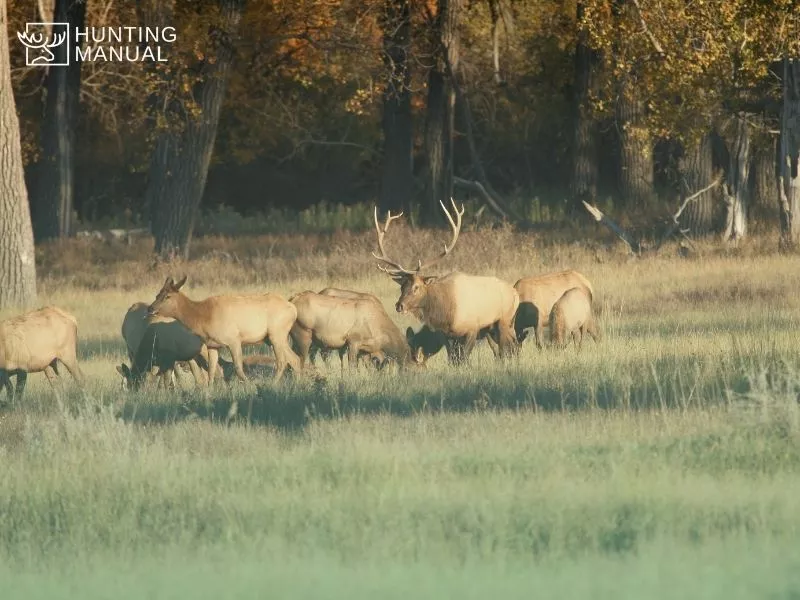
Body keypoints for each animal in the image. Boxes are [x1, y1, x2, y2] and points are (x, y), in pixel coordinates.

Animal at [147, 278, 304, 384]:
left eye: (168, 296)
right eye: (157, 294)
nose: (150, 308)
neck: (203, 318)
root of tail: (293, 309)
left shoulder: (233, 339)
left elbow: (238, 367)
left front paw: (249, 386)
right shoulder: (212, 345)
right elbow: (211, 370)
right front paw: (209, 391)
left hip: (276, 333)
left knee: (282, 361)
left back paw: (273, 384)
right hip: (272, 338)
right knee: (294, 359)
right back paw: (298, 384)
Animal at [370, 199, 520, 364]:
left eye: (416, 287)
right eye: (401, 287)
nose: (399, 305)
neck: (446, 312)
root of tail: (515, 293)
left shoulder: (472, 328)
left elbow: (464, 358)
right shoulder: (446, 335)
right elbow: (452, 359)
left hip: (504, 320)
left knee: (507, 348)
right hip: (495, 328)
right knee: (510, 346)